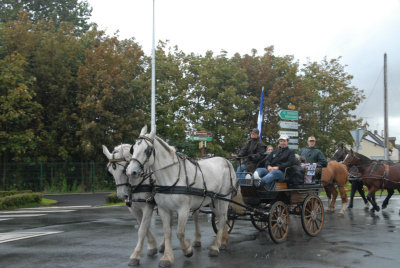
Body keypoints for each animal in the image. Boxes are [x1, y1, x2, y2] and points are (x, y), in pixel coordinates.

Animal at [126, 126, 244, 268]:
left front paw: (187, 250)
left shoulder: (183, 209)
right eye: (133, 149)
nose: (131, 172)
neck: (171, 178)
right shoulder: (164, 209)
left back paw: (215, 247)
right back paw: (224, 241)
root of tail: (226, 161)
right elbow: (167, 232)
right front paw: (167, 257)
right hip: (213, 200)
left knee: (222, 219)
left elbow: (180, 233)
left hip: (223, 199)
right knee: (222, 217)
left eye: (148, 150)